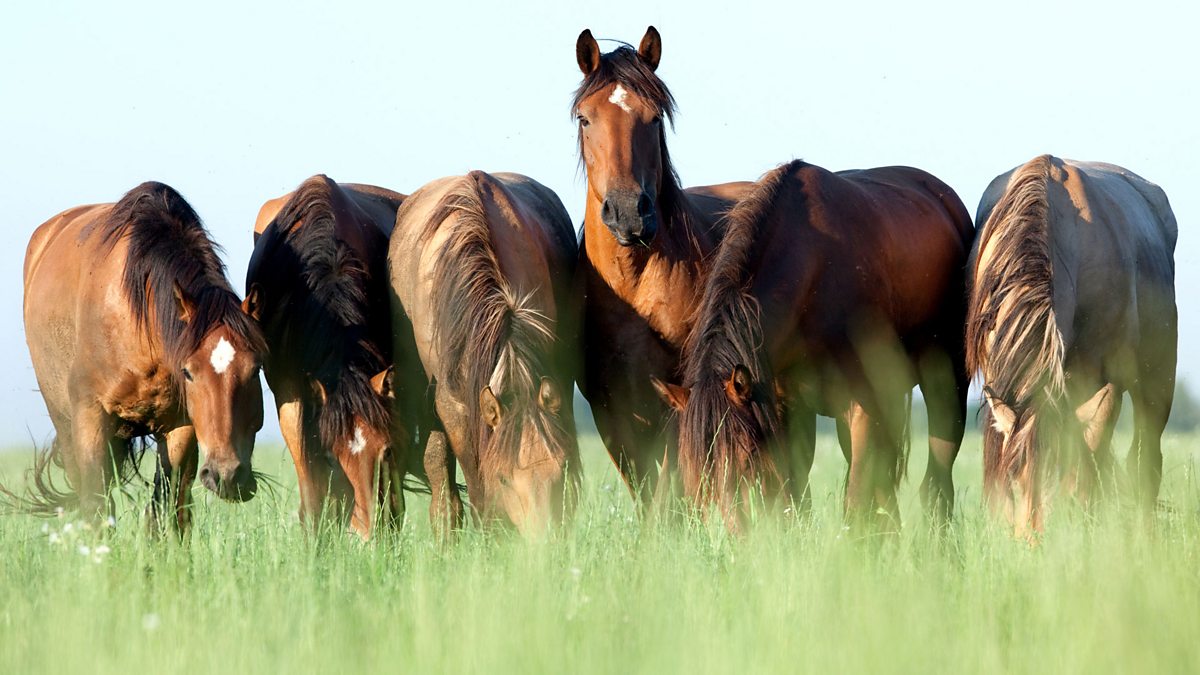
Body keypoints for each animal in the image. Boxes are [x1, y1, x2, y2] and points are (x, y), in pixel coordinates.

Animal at [17, 182, 267, 531]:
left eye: (256, 368)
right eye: (188, 372)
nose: (227, 475)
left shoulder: (180, 426)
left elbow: (166, 507)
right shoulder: (91, 416)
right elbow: (96, 504)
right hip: (65, 423)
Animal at [572, 26, 754, 503]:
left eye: (654, 118)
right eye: (585, 118)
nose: (628, 213)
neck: (634, 284)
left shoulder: (678, 395)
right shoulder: (611, 409)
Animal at [655, 160, 974, 533]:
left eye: (746, 459)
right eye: (694, 471)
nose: (733, 537)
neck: (812, 274)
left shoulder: (862, 407)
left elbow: (856, 500)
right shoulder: (788, 409)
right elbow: (796, 495)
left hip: (946, 387)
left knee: (937, 478)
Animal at [967, 155, 1177, 535]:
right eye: (1017, 481)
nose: (1034, 542)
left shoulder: (1106, 385)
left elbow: (1087, 465)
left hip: (1157, 381)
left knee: (1145, 464)